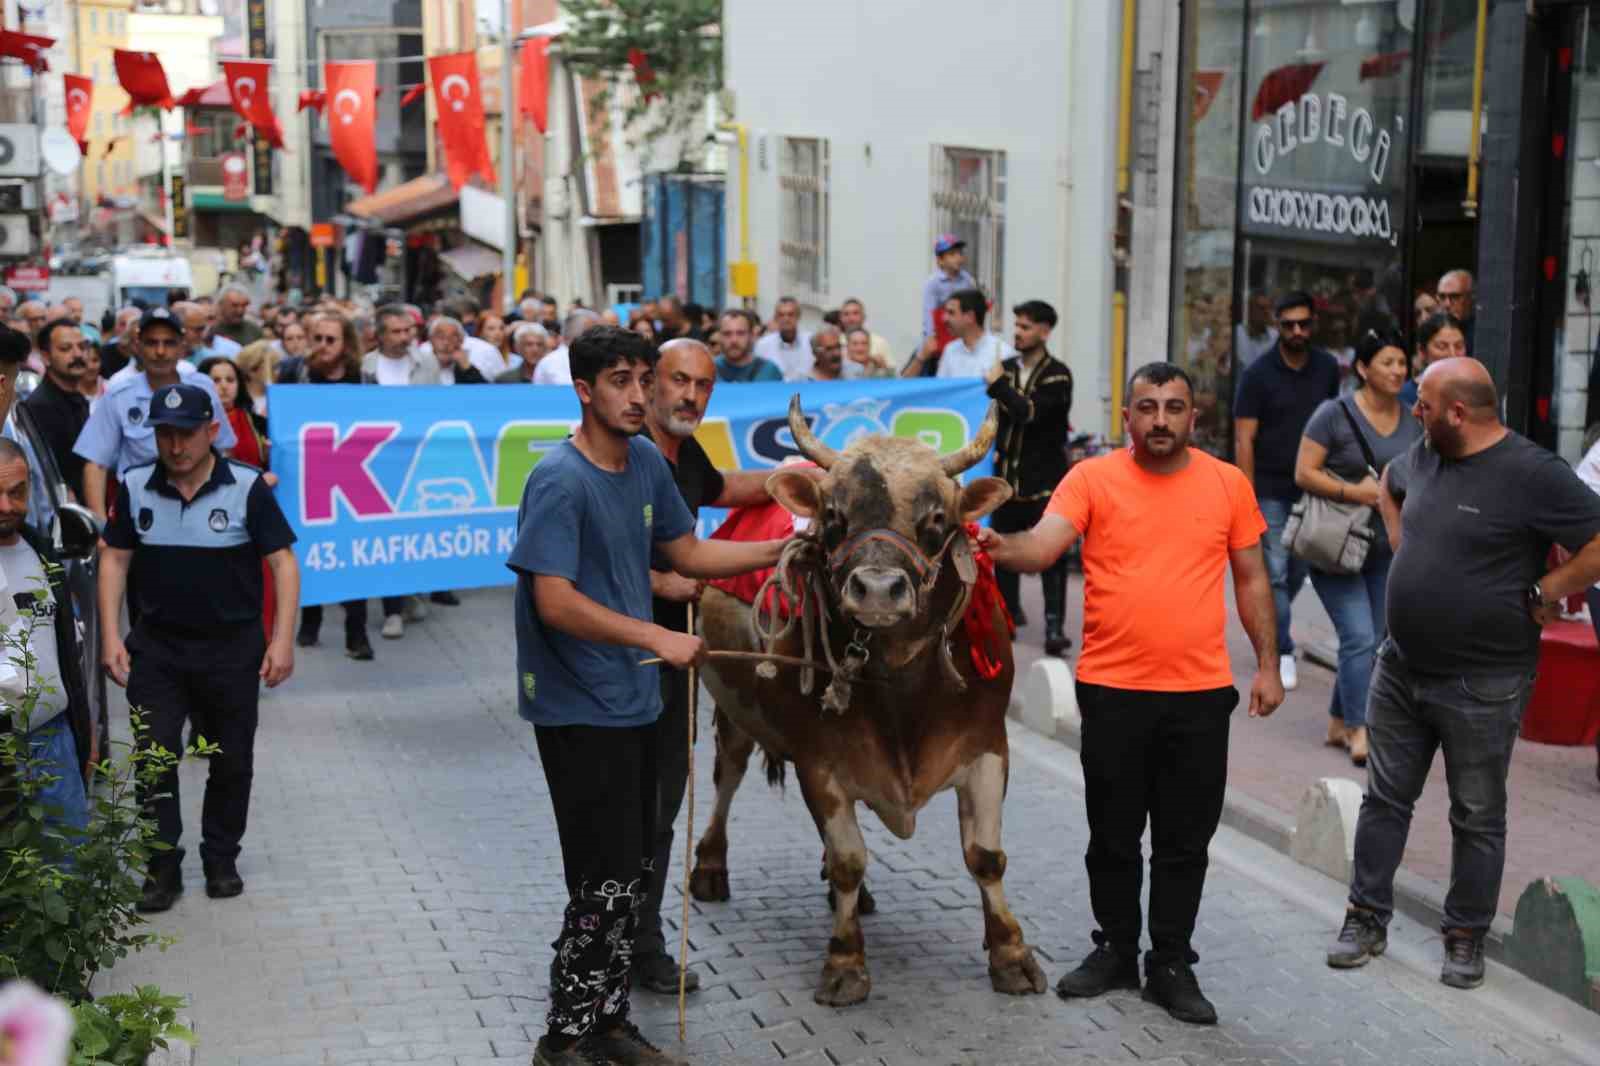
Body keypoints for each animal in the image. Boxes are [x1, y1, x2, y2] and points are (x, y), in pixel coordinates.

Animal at [681, 393, 1043, 998]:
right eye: (834, 517)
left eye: (936, 519)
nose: (876, 590)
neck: (903, 690)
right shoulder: (820, 760)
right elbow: (851, 856)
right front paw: (846, 963)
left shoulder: (989, 747)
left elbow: (986, 857)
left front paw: (1011, 955)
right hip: (733, 711)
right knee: (726, 778)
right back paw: (710, 866)